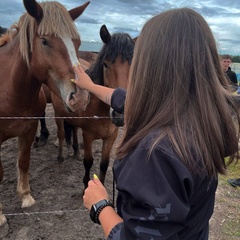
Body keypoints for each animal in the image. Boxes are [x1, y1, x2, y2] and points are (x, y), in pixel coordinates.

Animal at [0, 0, 89, 225]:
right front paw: (1, 216)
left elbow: (23, 161)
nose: (80, 97)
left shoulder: (28, 129)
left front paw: (26, 197)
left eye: (77, 42)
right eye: (45, 41)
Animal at [51, 24, 135, 189]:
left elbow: (104, 164)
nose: (120, 113)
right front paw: (86, 186)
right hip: (58, 115)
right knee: (61, 134)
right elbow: (88, 162)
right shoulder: (88, 136)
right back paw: (60, 157)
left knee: (73, 130)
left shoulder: (111, 137)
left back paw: (76, 152)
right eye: (105, 64)